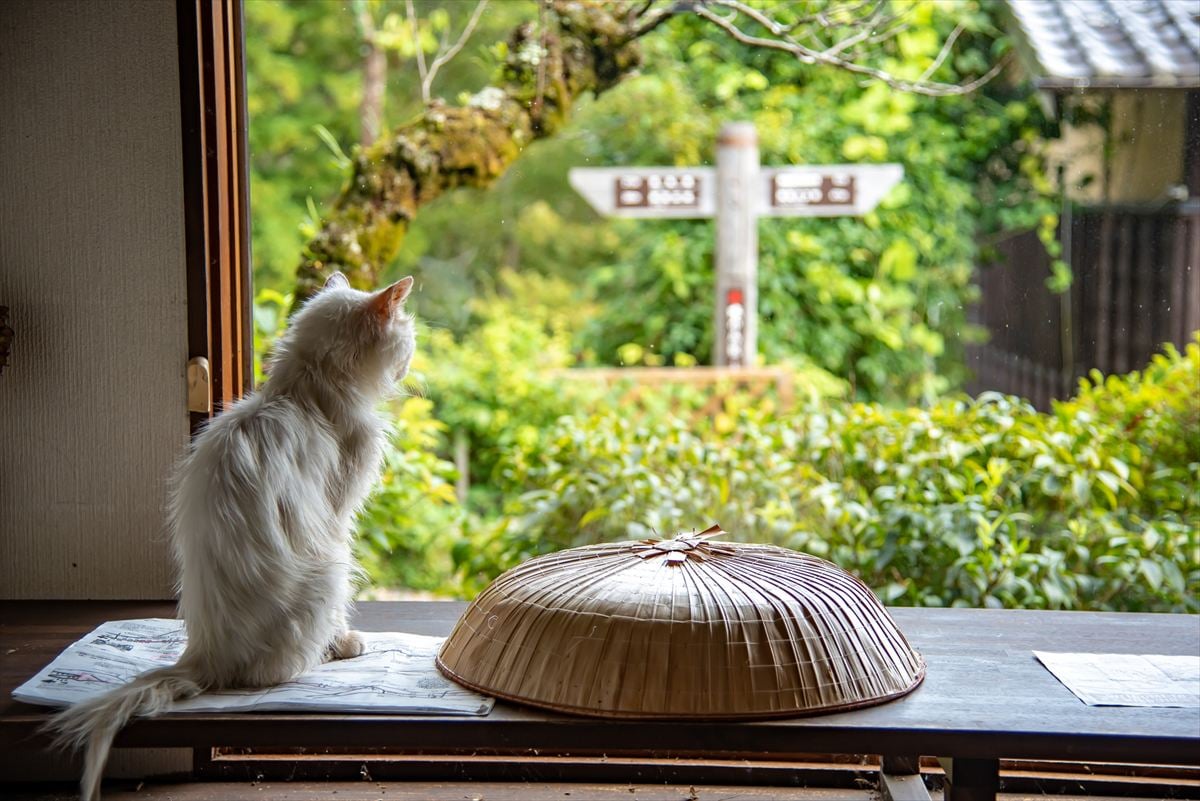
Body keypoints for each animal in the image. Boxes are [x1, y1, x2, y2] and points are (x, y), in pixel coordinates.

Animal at [48, 272, 417, 796]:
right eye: (408, 338)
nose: (411, 362)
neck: (299, 392)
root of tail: (203, 656)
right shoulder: (338, 517)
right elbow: (343, 609)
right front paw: (346, 639)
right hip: (329, 568)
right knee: (276, 671)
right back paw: (324, 655)